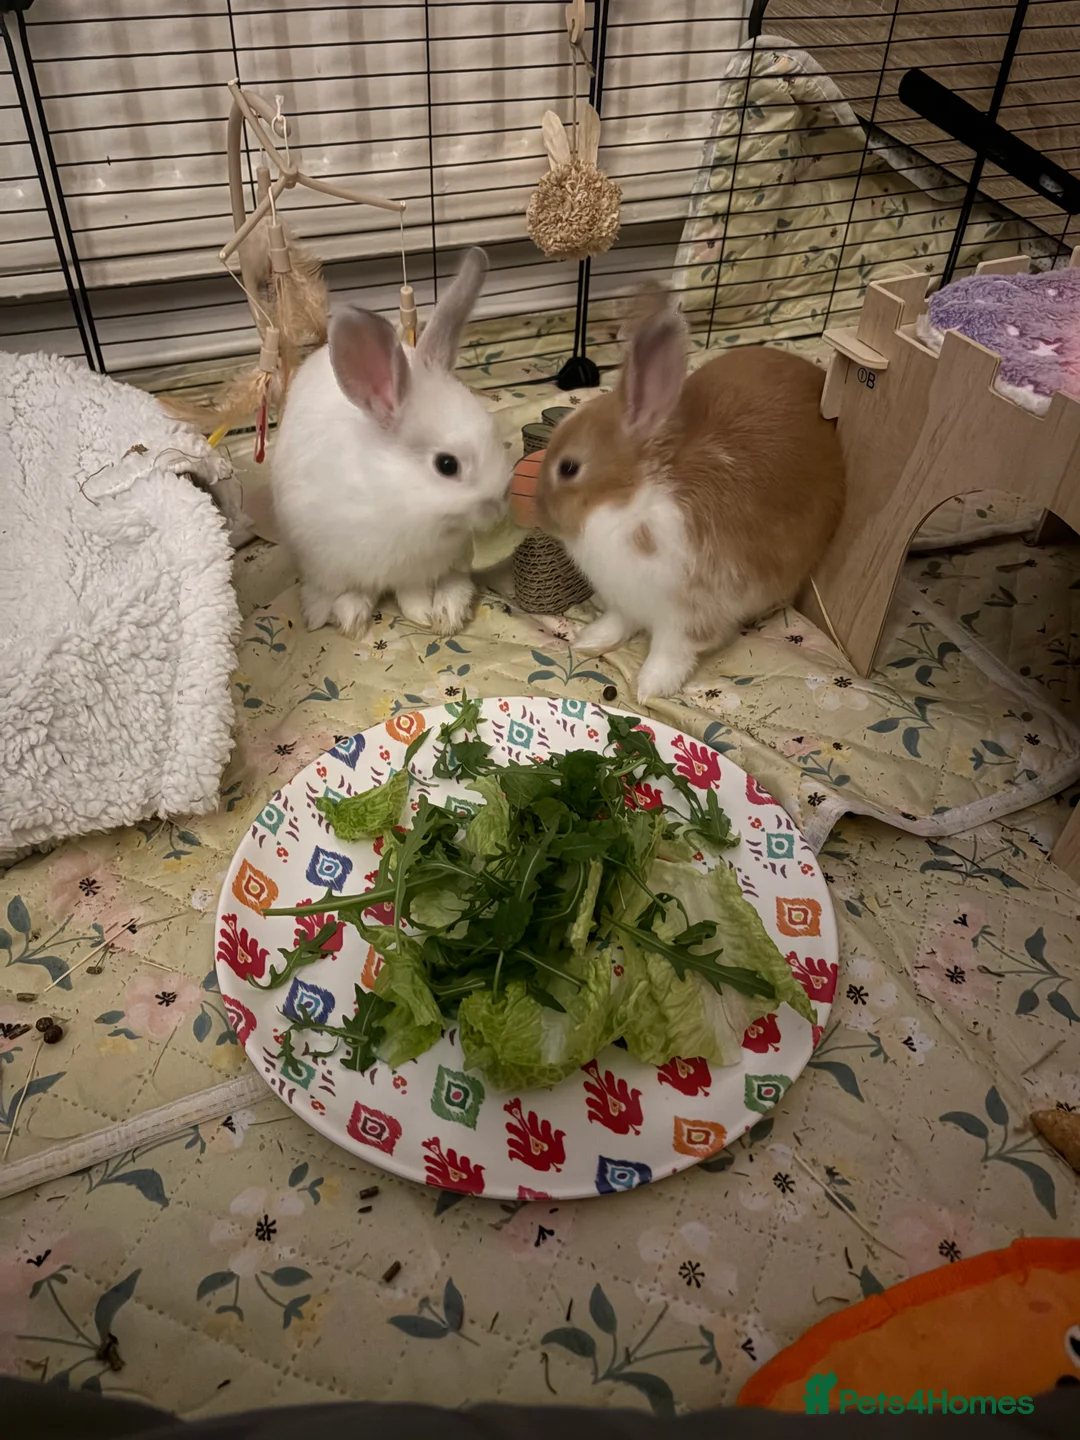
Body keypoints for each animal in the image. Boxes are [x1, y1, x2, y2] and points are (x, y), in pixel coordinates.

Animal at [271, 248, 510, 639]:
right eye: (447, 465)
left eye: (497, 433)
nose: (500, 505)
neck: (390, 494)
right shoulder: (330, 561)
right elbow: (345, 590)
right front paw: (343, 618)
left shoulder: (415, 569)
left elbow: (411, 593)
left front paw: (423, 614)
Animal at [535, 291, 845, 703]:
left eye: (568, 468)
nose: (538, 510)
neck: (631, 503)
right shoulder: (624, 599)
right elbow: (617, 623)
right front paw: (590, 641)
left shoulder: (688, 616)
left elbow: (670, 653)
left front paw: (650, 688)